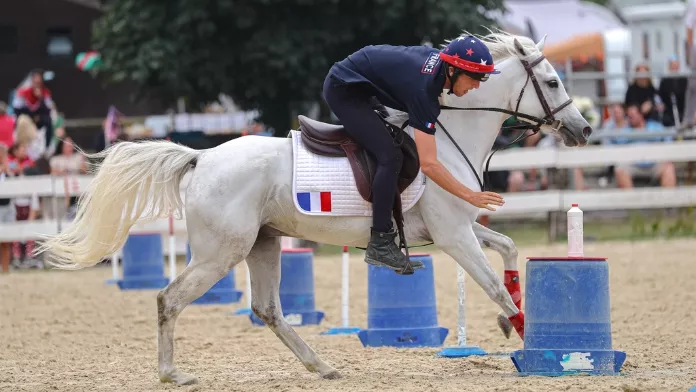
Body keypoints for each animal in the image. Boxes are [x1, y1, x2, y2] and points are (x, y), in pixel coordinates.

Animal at [40, 32, 588, 384]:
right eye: (553, 82)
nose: (582, 130)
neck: (451, 130)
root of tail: (202, 157)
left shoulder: (459, 228)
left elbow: (510, 248)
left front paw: (513, 319)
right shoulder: (453, 235)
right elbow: (492, 284)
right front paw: (528, 338)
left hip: (262, 243)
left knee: (267, 309)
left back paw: (321, 366)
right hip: (221, 252)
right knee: (169, 299)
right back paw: (172, 373)